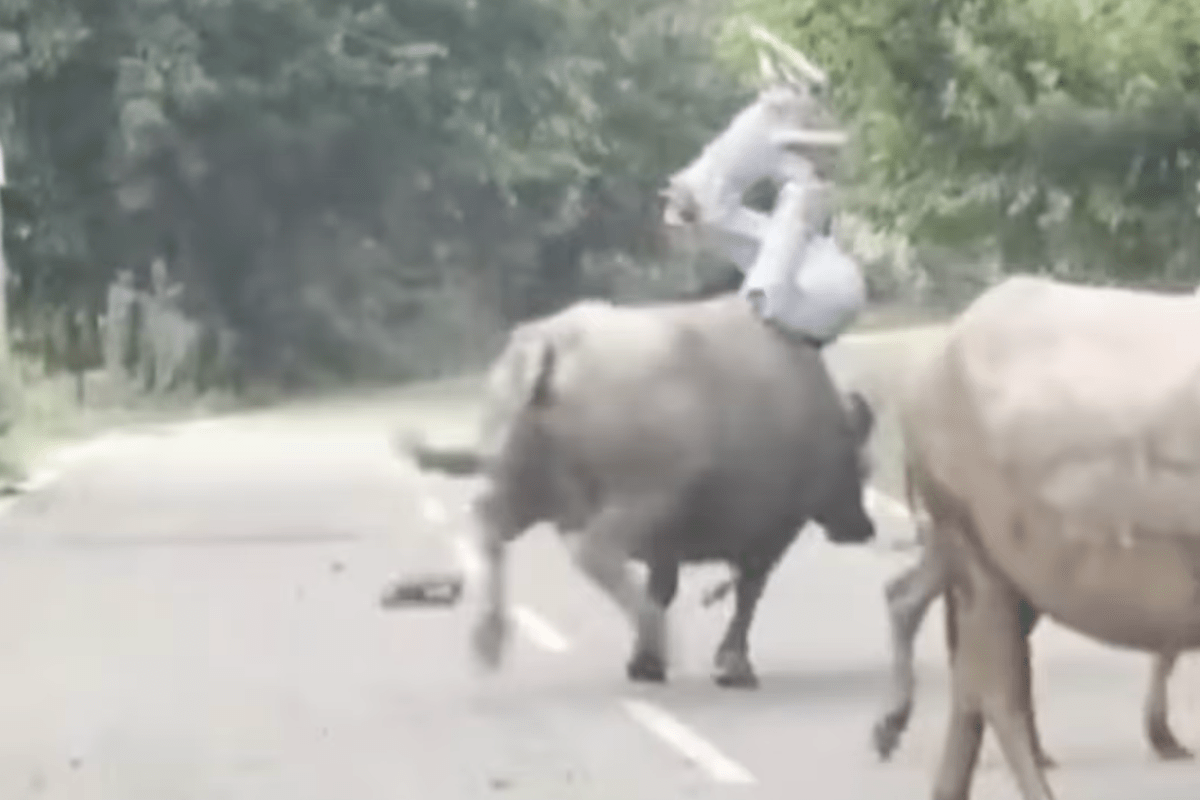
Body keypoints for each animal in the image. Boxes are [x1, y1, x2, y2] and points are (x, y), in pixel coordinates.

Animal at [398, 293, 878, 690]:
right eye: (865, 466)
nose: (863, 527)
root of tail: (554, 341)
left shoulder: (669, 546)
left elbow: (664, 586)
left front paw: (644, 664)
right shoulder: (770, 534)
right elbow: (748, 594)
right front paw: (732, 665)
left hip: (522, 480)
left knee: (488, 528)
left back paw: (489, 638)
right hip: (642, 494)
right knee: (593, 551)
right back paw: (658, 637)